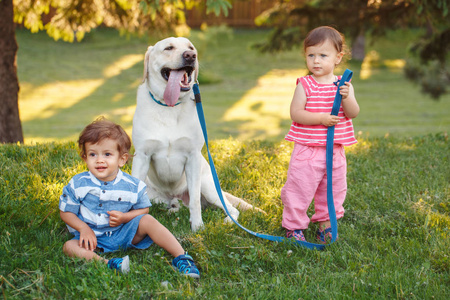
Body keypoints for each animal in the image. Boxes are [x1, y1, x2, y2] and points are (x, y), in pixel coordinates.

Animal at [131, 37, 260, 232]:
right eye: (168, 48)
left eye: (190, 47)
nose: (191, 56)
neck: (169, 107)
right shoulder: (142, 157)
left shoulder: (192, 157)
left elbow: (195, 203)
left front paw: (198, 227)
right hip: (155, 195)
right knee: (169, 205)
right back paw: (172, 208)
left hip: (207, 185)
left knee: (230, 209)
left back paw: (228, 221)